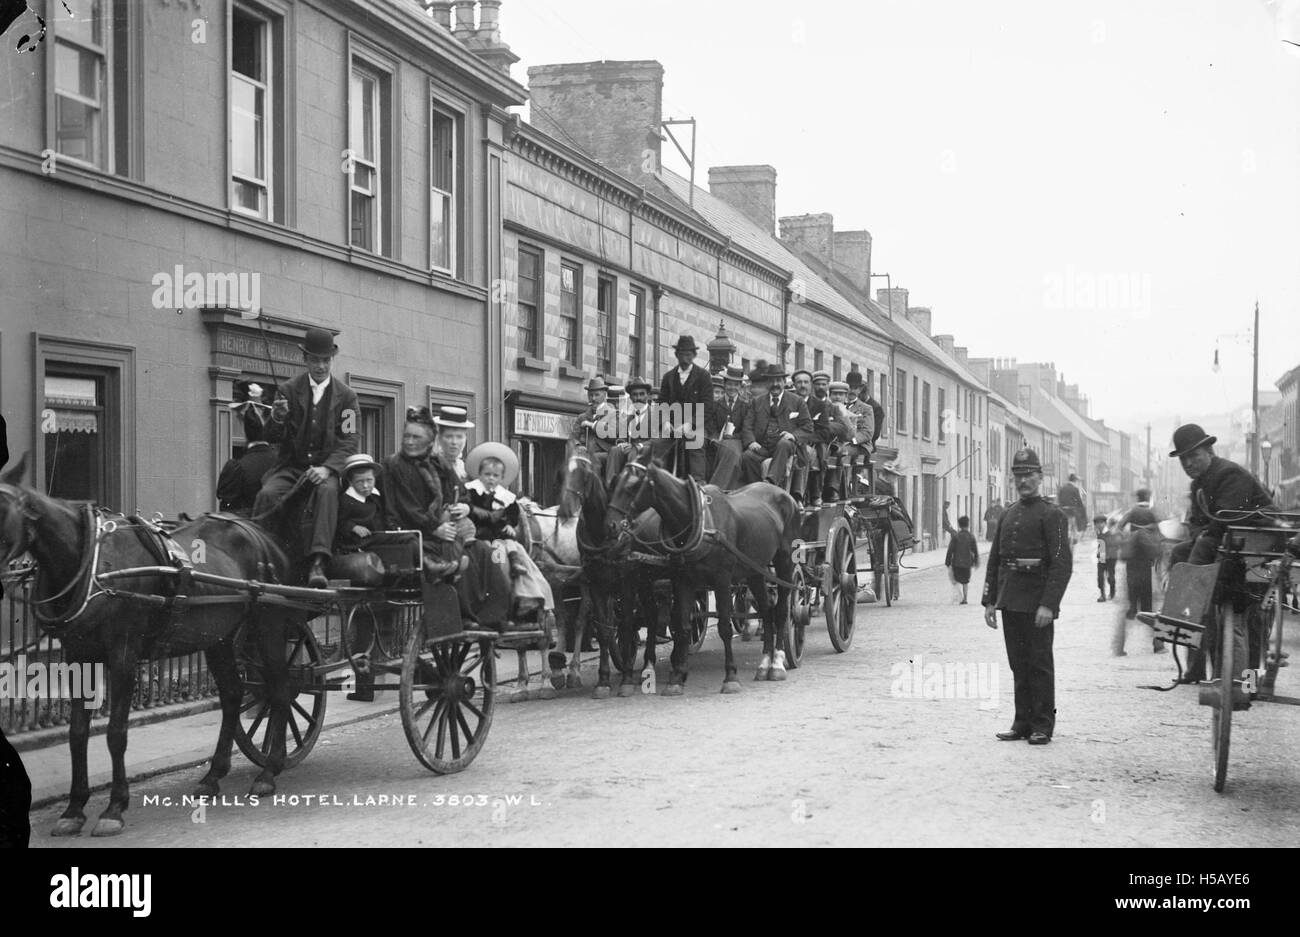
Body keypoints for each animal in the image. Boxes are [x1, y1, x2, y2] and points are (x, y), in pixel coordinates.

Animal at [0, 452, 305, 831]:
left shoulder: (123, 654)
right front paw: (74, 808)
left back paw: (268, 771)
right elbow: (78, 732)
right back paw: (213, 776)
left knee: (279, 690)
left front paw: (114, 807)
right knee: (234, 695)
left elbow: (116, 732)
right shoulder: (78, 655)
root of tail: (260, 533)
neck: (93, 563)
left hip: (268, 624)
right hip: (219, 636)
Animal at [603, 447, 795, 696]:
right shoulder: (682, 580)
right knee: (766, 610)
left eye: (634, 485)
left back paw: (778, 662)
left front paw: (730, 676)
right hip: (755, 569)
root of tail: (782, 493)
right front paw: (676, 678)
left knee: (781, 609)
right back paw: (764, 665)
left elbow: (724, 627)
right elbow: (683, 627)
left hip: (784, 562)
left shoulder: (722, 580)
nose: (611, 526)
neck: (699, 522)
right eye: (614, 481)